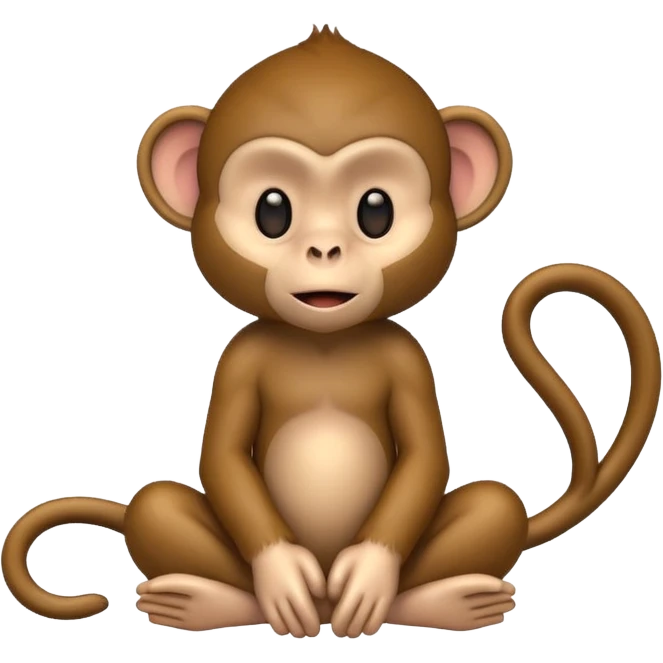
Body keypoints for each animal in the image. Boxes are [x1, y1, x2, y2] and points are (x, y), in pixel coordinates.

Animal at [1, 25, 660, 639]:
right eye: (272, 210)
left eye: (376, 209)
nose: (324, 249)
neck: (324, 341)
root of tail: (323, 613)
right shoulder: (240, 357)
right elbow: (223, 455)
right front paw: (282, 574)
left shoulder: (407, 357)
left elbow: (424, 454)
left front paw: (369, 573)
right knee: (156, 506)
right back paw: (198, 600)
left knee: (494, 507)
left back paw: (451, 600)